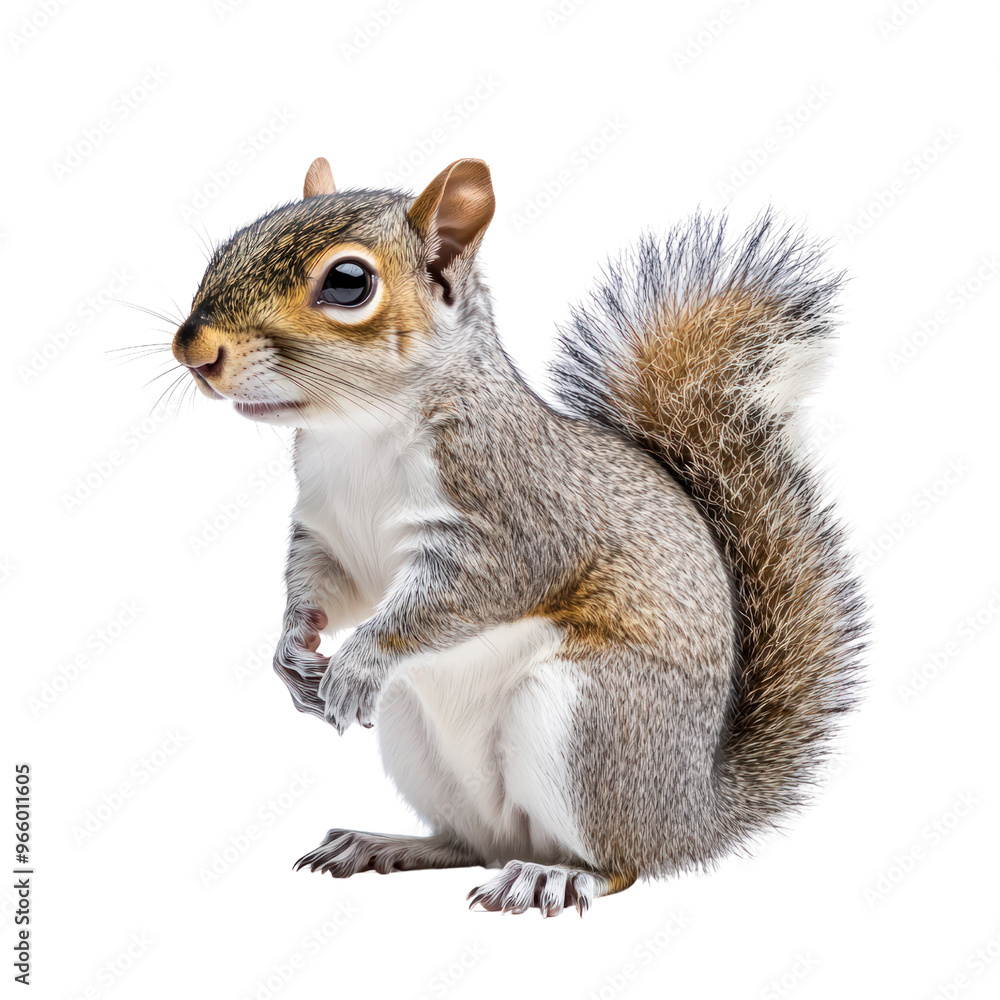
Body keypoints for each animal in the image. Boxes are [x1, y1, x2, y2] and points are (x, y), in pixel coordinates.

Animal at [170, 156, 866, 917]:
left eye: (348, 282)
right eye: (227, 246)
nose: (193, 349)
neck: (359, 433)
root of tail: (693, 813)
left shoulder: (515, 523)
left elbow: (451, 600)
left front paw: (356, 663)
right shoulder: (324, 531)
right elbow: (325, 588)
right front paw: (292, 650)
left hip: (589, 722)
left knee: (622, 862)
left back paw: (556, 876)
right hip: (416, 737)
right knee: (469, 842)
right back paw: (387, 843)